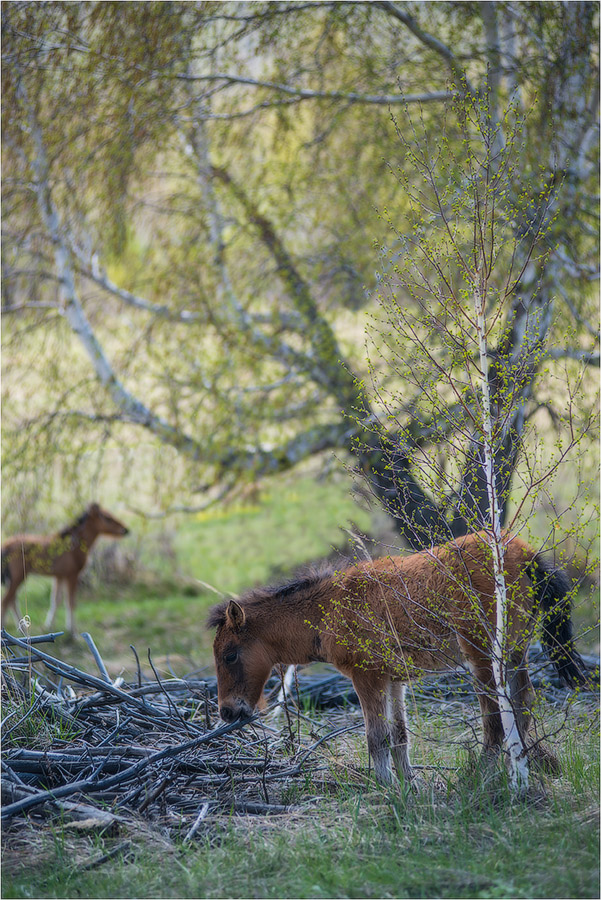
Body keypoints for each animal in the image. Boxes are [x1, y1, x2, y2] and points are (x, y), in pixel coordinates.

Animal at [1, 502, 129, 636]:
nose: (125, 530)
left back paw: (24, 631)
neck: (74, 545)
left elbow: (55, 600)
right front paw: (73, 632)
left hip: (14, 578)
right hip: (18, 577)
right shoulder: (72, 575)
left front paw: (49, 627)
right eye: (107, 517)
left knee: (12, 601)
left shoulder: (59, 576)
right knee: (6, 601)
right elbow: (71, 603)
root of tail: (6, 546)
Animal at [209, 532, 584, 784]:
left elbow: (376, 737)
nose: (227, 712)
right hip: (514, 651)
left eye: (229, 655)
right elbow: (399, 735)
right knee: (523, 703)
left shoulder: (367, 676)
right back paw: (520, 766)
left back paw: (482, 776)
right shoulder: (394, 680)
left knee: (495, 718)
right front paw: (407, 784)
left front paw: (384, 786)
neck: (327, 611)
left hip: (483, 656)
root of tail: (526, 552)